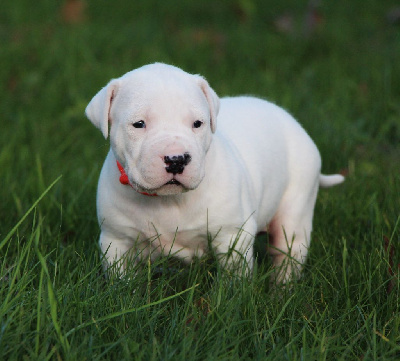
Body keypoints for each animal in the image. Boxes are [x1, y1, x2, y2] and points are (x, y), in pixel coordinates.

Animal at [85, 62, 344, 282]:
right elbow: (121, 282)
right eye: (139, 124)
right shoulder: (116, 242)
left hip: (295, 211)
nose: (176, 159)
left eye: (197, 123)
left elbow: (233, 281)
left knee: (288, 254)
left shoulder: (232, 237)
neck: (168, 201)